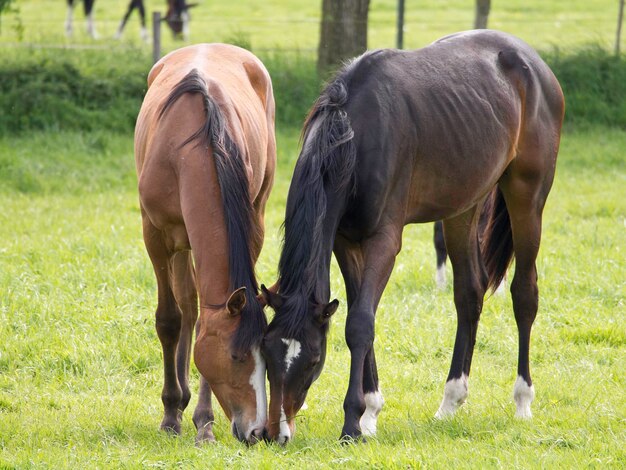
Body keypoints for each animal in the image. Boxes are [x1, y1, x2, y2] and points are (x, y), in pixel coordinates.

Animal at [134, 44, 276, 444]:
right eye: (236, 357)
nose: (258, 431)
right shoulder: (155, 236)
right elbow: (169, 320)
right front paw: (171, 414)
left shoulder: (246, 226)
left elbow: (199, 324)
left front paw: (204, 423)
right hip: (179, 245)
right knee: (185, 305)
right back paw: (176, 402)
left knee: (192, 307)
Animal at [260, 30, 564, 444]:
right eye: (267, 353)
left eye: (312, 360)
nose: (275, 433)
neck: (352, 136)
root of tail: (533, 63)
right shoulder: (344, 242)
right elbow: (360, 316)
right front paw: (370, 413)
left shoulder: (384, 242)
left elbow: (360, 324)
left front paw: (353, 422)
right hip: (462, 208)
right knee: (469, 293)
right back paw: (450, 401)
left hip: (527, 197)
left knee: (524, 294)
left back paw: (522, 400)